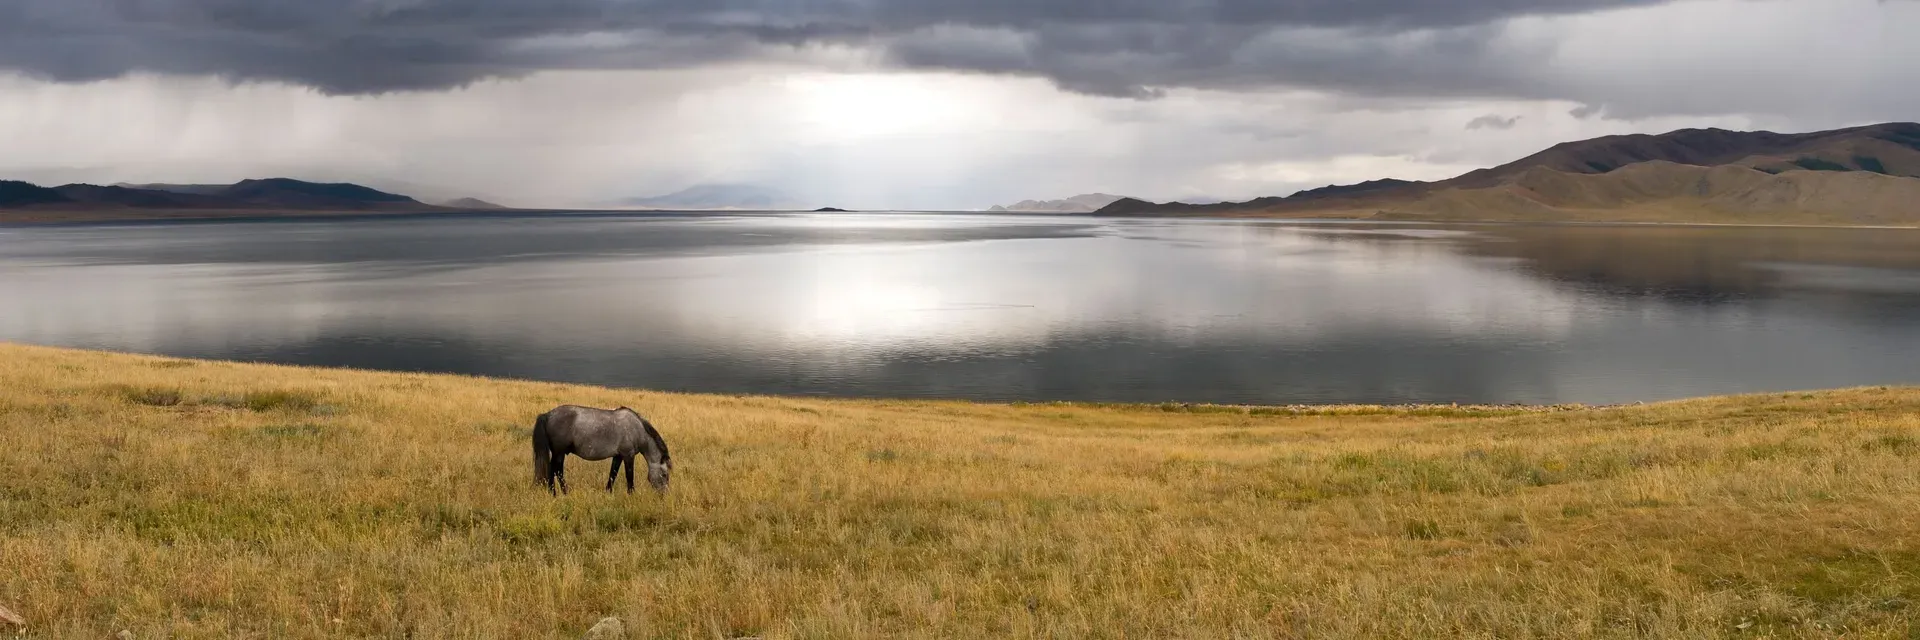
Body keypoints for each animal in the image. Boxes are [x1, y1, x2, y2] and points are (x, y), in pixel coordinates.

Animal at [531, 405, 672, 495]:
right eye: (664, 475)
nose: (664, 495)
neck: (637, 429)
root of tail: (548, 415)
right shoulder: (628, 455)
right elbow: (629, 477)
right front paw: (631, 495)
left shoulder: (618, 456)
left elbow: (612, 474)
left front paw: (608, 492)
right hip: (559, 453)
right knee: (555, 471)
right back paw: (559, 493)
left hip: (559, 453)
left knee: (555, 471)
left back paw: (559, 493)